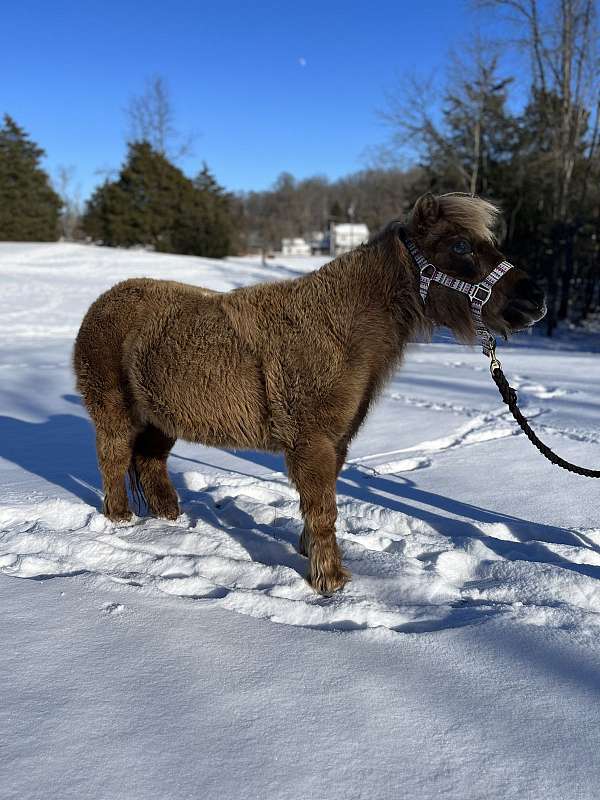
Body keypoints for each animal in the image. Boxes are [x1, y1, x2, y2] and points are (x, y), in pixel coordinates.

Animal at [72, 194, 548, 592]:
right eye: (461, 247)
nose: (535, 299)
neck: (337, 330)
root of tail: (101, 304)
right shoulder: (311, 441)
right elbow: (323, 509)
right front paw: (330, 581)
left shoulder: (335, 443)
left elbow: (320, 504)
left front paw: (308, 554)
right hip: (115, 412)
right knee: (113, 459)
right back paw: (121, 521)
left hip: (161, 419)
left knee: (150, 463)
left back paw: (171, 520)